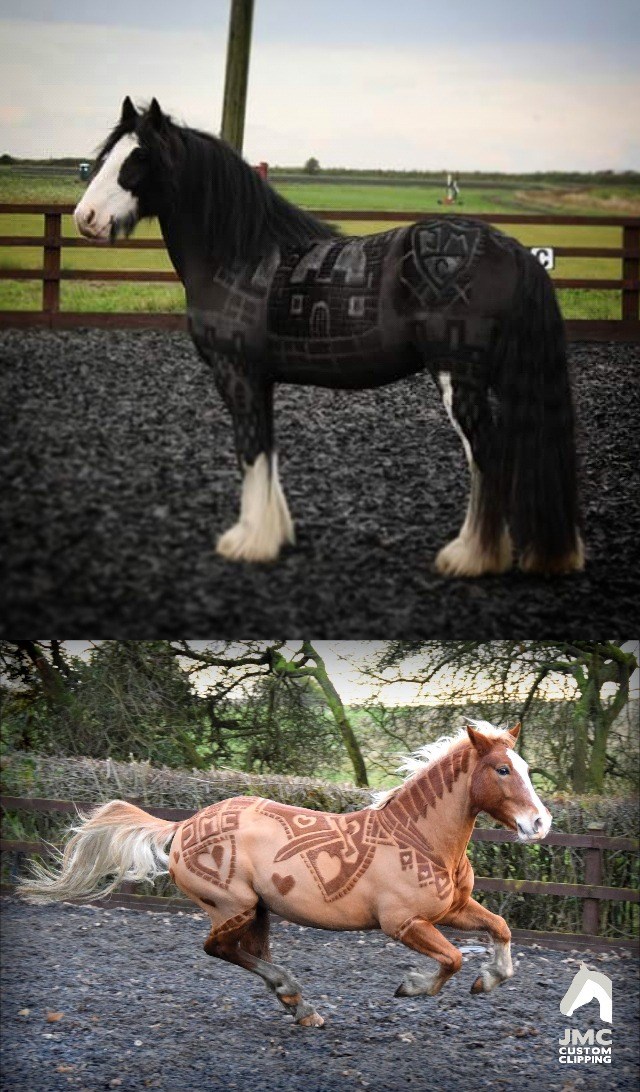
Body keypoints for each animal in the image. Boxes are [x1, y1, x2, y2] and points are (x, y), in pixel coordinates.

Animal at [19, 721, 551, 1027]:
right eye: (502, 770)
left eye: (525, 767)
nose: (540, 823)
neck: (420, 838)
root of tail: (183, 825)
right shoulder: (403, 923)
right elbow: (452, 960)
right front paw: (412, 987)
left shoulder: (454, 908)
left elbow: (500, 929)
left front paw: (490, 980)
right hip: (233, 906)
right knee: (219, 949)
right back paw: (294, 994)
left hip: (259, 910)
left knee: (247, 952)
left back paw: (298, 1005)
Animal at [73, 97, 584, 577]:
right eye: (105, 156)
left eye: (138, 159)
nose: (85, 217)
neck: (241, 254)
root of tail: (514, 250)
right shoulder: (261, 381)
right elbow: (268, 451)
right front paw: (274, 535)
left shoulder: (237, 375)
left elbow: (250, 452)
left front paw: (249, 543)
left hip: (459, 378)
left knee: (487, 456)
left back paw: (471, 557)